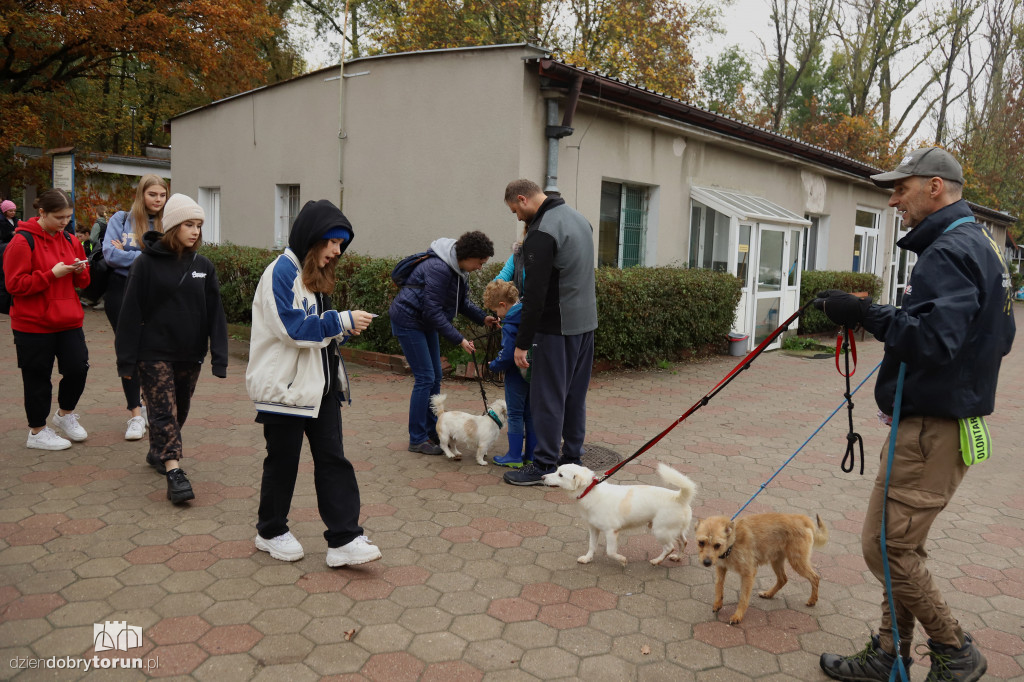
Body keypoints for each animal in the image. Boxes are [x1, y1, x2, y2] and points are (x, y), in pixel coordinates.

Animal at [544, 462, 696, 561]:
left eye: (560, 475)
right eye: (556, 471)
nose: (542, 477)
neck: (590, 491)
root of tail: (679, 498)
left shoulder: (611, 531)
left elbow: (610, 552)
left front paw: (622, 559)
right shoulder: (593, 528)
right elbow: (592, 545)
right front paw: (587, 558)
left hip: (660, 531)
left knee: (670, 547)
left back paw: (656, 561)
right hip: (673, 531)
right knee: (684, 542)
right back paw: (677, 558)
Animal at [692, 516, 827, 622]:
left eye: (717, 545)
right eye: (701, 542)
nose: (707, 562)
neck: (733, 542)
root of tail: (802, 519)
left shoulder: (748, 574)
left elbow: (743, 598)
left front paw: (738, 616)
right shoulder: (721, 568)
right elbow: (718, 588)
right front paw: (718, 603)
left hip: (797, 562)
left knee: (815, 577)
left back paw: (812, 600)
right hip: (776, 561)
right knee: (783, 579)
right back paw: (768, 594)